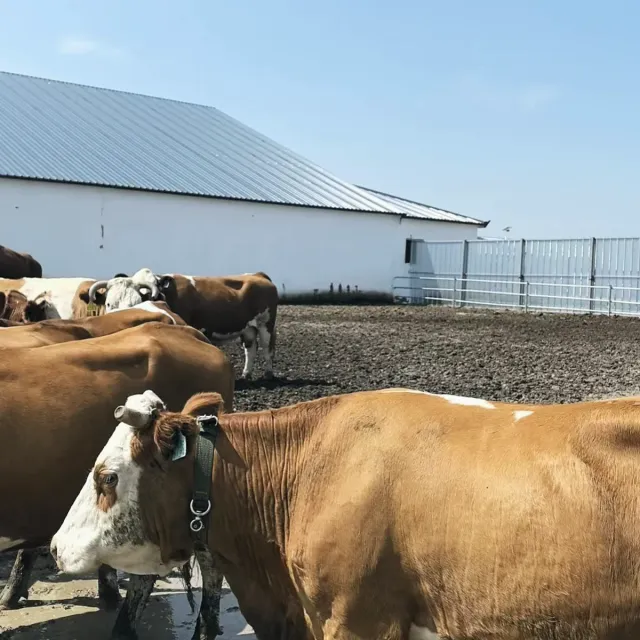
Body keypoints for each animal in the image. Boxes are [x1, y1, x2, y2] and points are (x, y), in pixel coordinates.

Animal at [87, 268, 278, 380]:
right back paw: (246, 374)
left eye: (136, 301)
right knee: (250, 349)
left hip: (266, 324)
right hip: (248, 328)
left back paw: (268, 375)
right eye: (109, 303)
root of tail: (258, 275)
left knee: (267, 348)